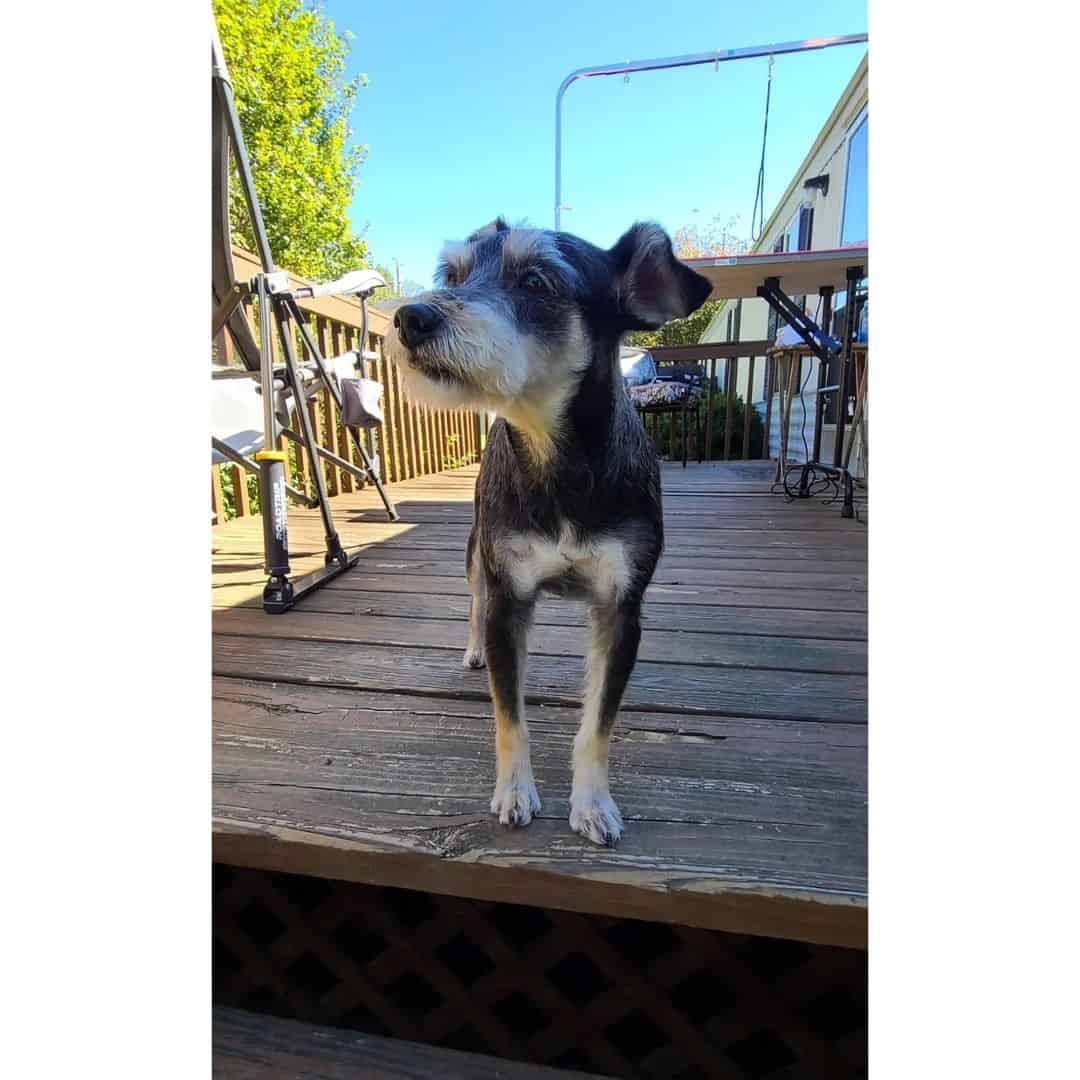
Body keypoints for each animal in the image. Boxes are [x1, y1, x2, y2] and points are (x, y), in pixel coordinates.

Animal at [384, 219, 712, 842]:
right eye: (453, 276)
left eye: (537, 281)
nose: (410, 318)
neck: (559, 462)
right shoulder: (508, 598)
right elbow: (509, 717)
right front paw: (515, 792)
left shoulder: (619, 608)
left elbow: (598, 724)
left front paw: (592, 803)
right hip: (476, 555)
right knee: (474, 603)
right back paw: (473, 651)